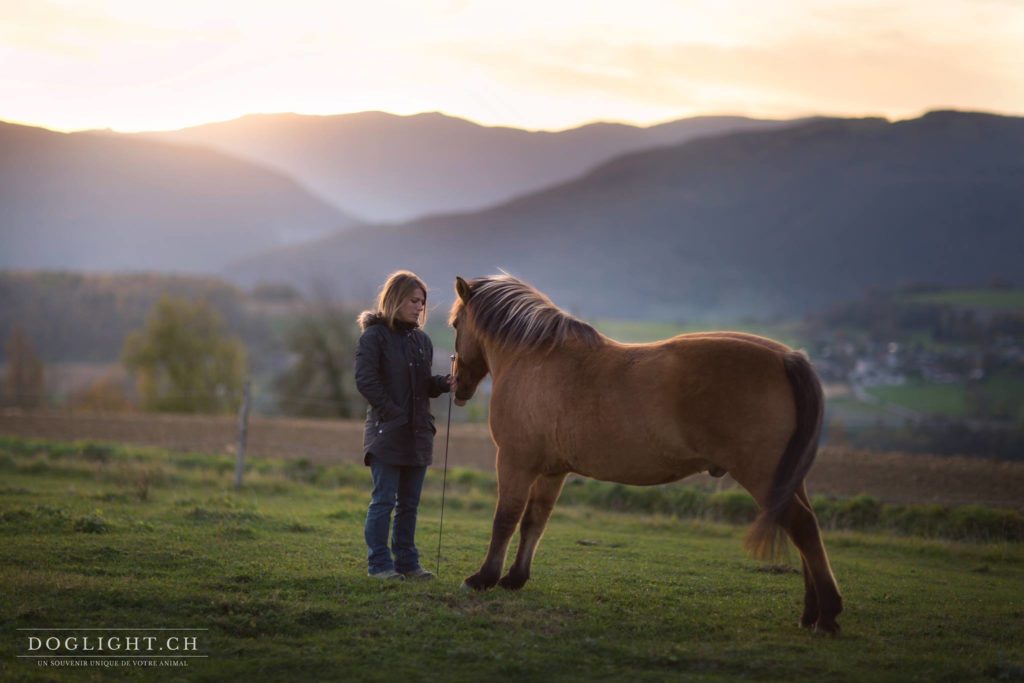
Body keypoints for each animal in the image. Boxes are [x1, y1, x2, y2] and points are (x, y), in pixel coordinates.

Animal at [446, 274, 839, 634]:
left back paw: (828, 616)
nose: (457, 385)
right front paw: (515, 578)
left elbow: (505, 519)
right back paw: (811, 613)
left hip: (761, 475)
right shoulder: (552, 471)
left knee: (802, 526)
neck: (536, 359)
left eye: (455, 324)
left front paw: (483, 577)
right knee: (806, 531)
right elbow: (534, 522)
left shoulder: (515, 462)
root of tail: (787, 357)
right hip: (789, 477)